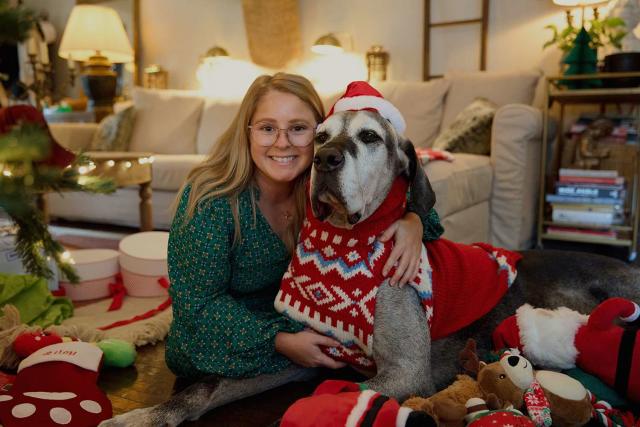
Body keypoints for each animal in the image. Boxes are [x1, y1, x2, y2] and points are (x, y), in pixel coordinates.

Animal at [102, 111, 640, 427]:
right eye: (317, 135)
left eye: (368, 136)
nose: (323, 158)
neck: (345, 246)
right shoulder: (304, 352)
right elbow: (208, 386)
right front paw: (145, 416)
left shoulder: (405, 372)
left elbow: (327, 398)